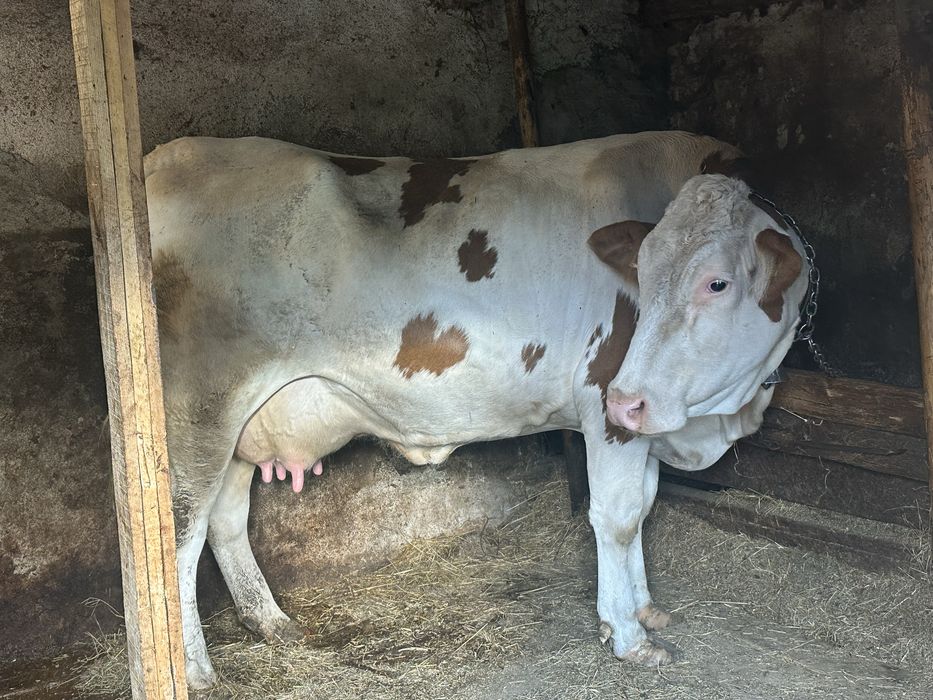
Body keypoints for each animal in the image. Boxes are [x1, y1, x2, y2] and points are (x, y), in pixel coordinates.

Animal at [144, 130, 808, 689]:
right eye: (641, 274)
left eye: (717, 283)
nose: (631, 398)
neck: (719, 415)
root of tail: (161, 159)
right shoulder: (607, 404)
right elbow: (617, 517)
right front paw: (627, 635)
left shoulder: (641, 421)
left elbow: (644, 506)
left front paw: (645, 610)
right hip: (198, 408)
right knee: (180, 531)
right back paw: (194, 672)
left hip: (243, 423)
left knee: (226, 520)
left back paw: (271, 622)